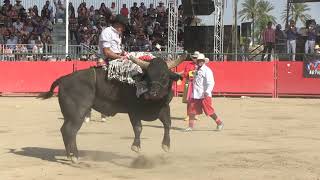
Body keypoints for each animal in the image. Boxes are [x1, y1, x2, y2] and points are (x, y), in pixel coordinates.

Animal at [38, 54, 186, 162]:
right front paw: (136, 146)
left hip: (69, 115)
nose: (153, 93)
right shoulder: (133, 111)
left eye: (164, 76)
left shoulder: (164, 108)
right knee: (70, 131)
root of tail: (64, 79)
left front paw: (166, 145)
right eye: (148, 76)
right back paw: (75, 156)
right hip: (78, 113)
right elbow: (138, 127)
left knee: (65, 130)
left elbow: (168, 124)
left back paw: (70, 155)